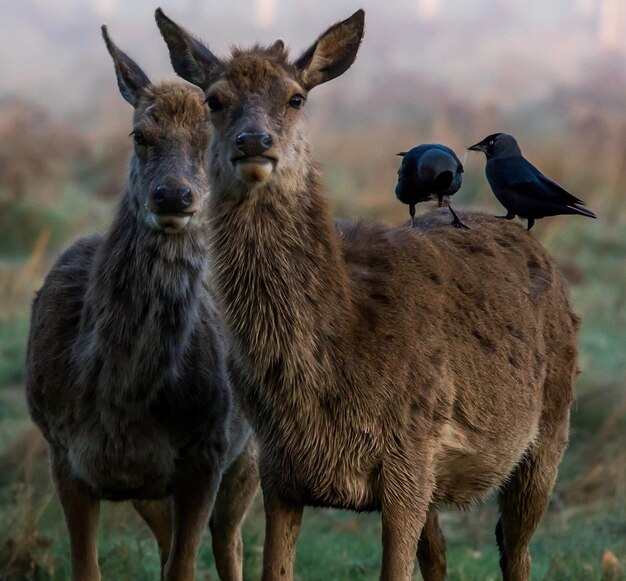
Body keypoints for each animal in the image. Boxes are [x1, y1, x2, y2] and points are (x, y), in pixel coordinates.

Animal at [23, 29, 258, 580]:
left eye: (212, 137)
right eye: (139, 135)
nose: (173, 195)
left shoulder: (209, 449)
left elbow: (184, 567)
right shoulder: (62, 452)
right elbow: (88, 568)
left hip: (252, 449)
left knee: (232, 543)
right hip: (148, 490)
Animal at [158, 9, 576, 580]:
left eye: (296, 97)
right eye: (214, 100)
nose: (253, 140)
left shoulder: (409, 459)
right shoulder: (280, 469)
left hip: (551, 428)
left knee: (516, 550)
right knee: (440, 555)